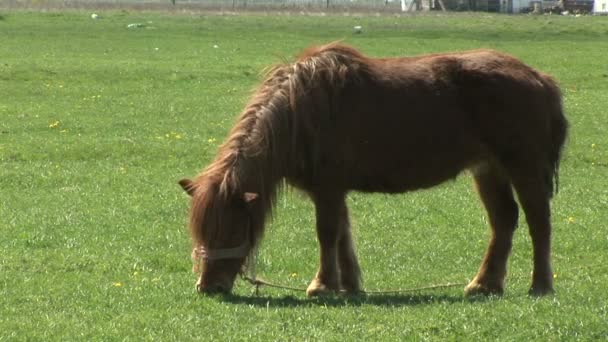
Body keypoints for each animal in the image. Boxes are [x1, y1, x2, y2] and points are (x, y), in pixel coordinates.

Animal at [178, 42, 568, 296]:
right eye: (200, 231)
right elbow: (342, 235)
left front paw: (321, 285)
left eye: (230, 228)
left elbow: (327, 233)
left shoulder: (328, 188)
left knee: (538, 221)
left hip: (523, 166)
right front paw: (349, 285)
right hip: (488, 170)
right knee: (504, 220)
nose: (208, 288)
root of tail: (540, 78)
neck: (301, 114)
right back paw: (484, 284)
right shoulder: (331, 190)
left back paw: (540, 284)